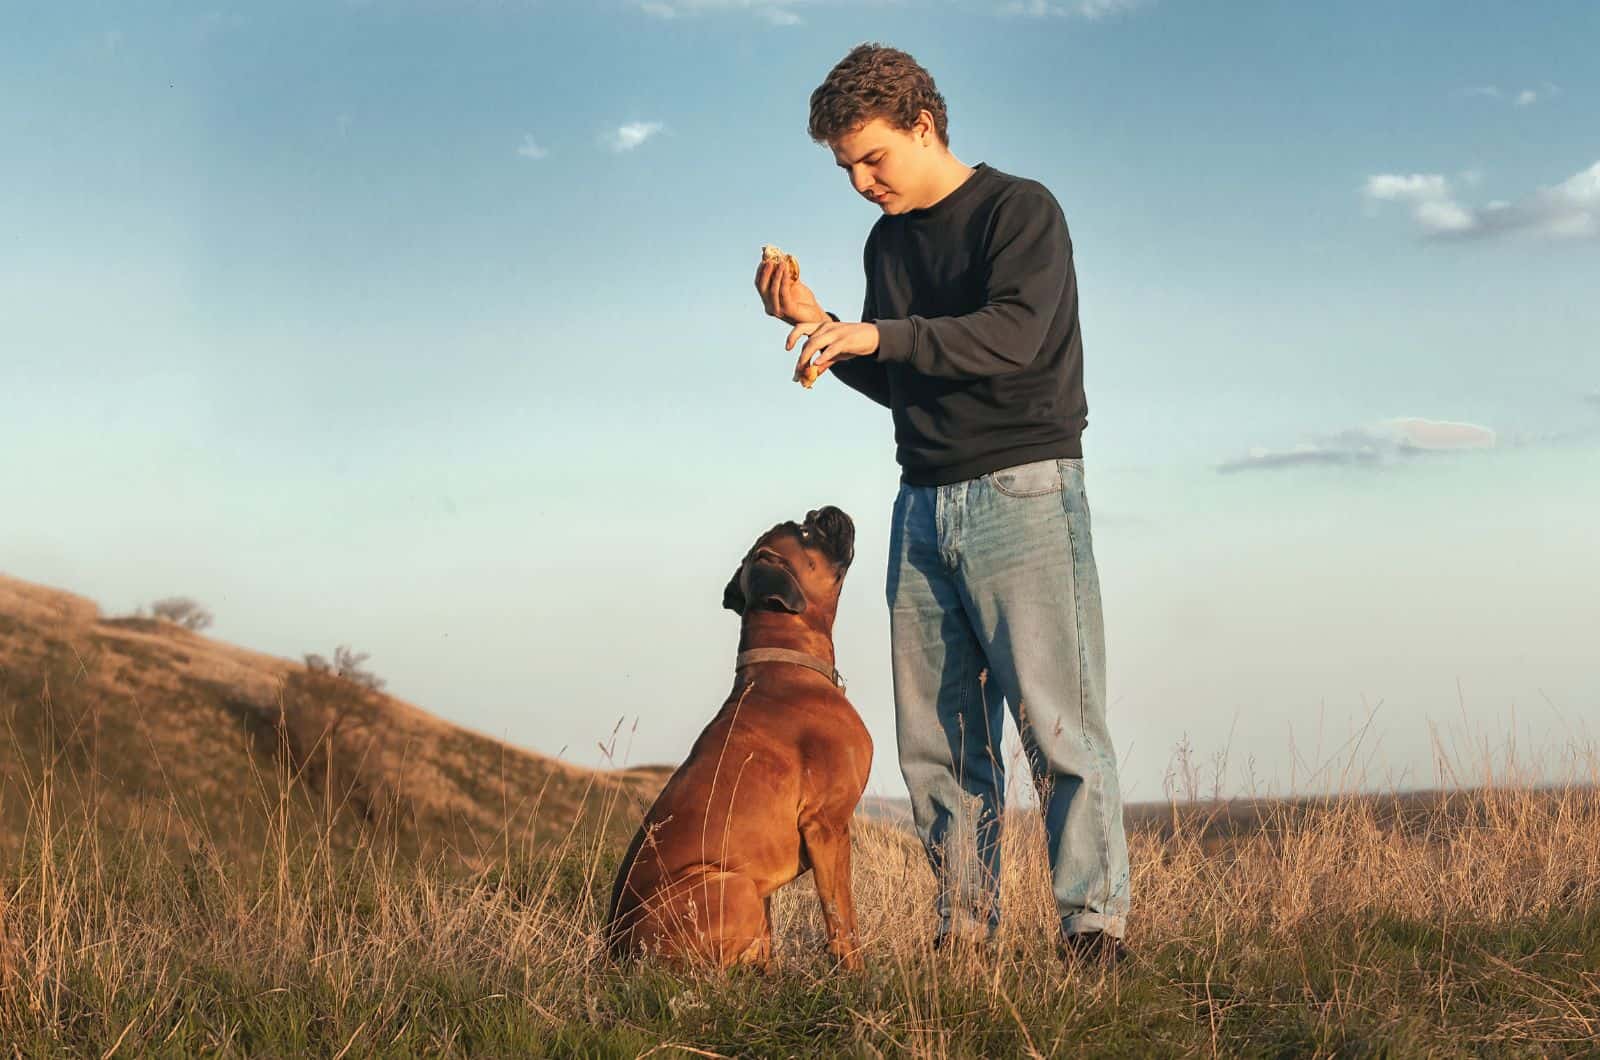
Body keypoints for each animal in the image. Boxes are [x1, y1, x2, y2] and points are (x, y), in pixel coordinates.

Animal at [601, 505, 876, 973]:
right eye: (806, 531)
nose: (826, 510)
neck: (787, 661)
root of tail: (616, 948)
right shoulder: (828, 825)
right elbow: (842, 918)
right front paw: (855, 975)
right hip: (735, 885)